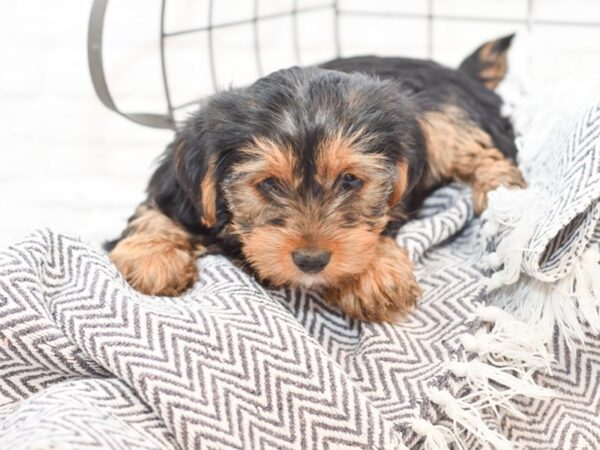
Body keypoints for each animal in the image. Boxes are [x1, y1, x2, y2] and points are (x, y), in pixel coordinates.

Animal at [106, 35, 524, 324]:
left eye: (349, 181)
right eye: (269, 184)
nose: (312, 260)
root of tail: (458, 74)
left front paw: (374, 273)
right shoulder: (183, 193)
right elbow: (154, 212)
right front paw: (151, 258)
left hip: (442, 118)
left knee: (485, 151)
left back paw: (500, 191)